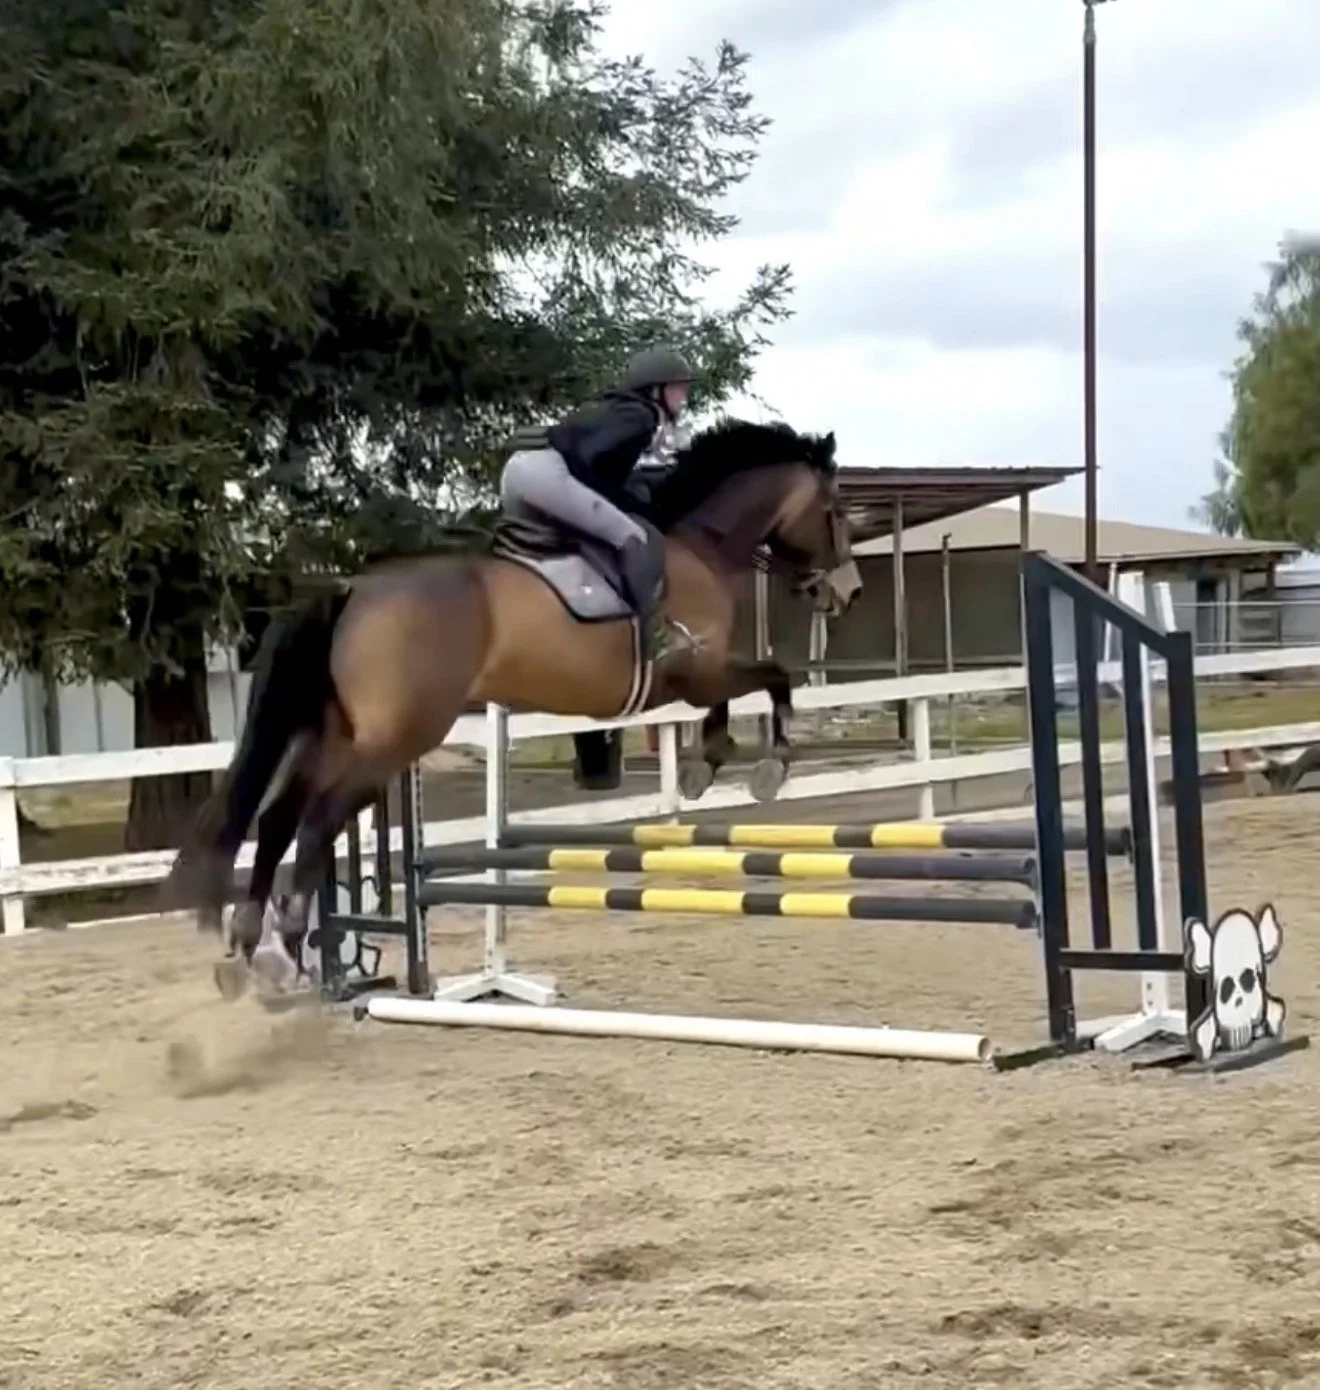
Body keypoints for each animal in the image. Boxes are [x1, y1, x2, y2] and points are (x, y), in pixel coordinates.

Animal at [165, 417, 861, 985]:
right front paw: (759, 765)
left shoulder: (700, 676)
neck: (700, 545)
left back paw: (248, 946)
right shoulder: (695, 673)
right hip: (395, 739)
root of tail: (352, 587)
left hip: (338, 732)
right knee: (315, 821)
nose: (846, 593)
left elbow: (748, 689)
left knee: (281, 817)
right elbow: (772, 678)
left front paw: (705, 765)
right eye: (835, 512)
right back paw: (285, 946)